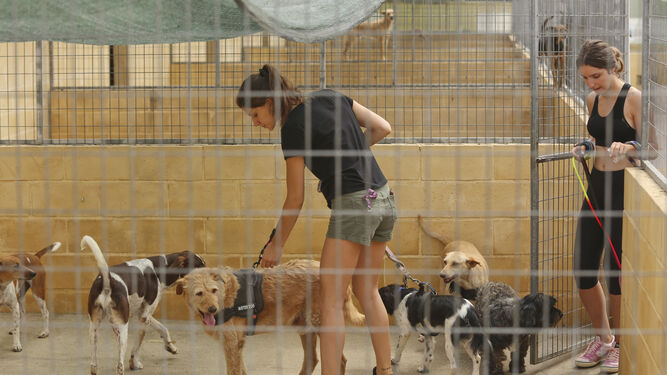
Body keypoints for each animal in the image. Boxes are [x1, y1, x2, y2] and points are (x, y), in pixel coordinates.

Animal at [83, 236, 206, 374]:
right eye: (200, 268)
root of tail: (107, 280)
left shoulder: (142, 313)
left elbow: (163, 328)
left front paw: (170, 346)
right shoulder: (144, 318)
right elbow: (137, 346)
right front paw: (134, 363)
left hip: (94, 328)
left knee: (93, 365)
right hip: (122, 328)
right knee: (120, 366)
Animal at [175, 260, 368, 375]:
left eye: (213, 290)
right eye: (199, 293)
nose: (213, 309)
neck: (226, 295)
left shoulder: (232, 343)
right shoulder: (236, 344)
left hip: (320, 323)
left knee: (339, 360)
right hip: (305, 327)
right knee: (312, 359)